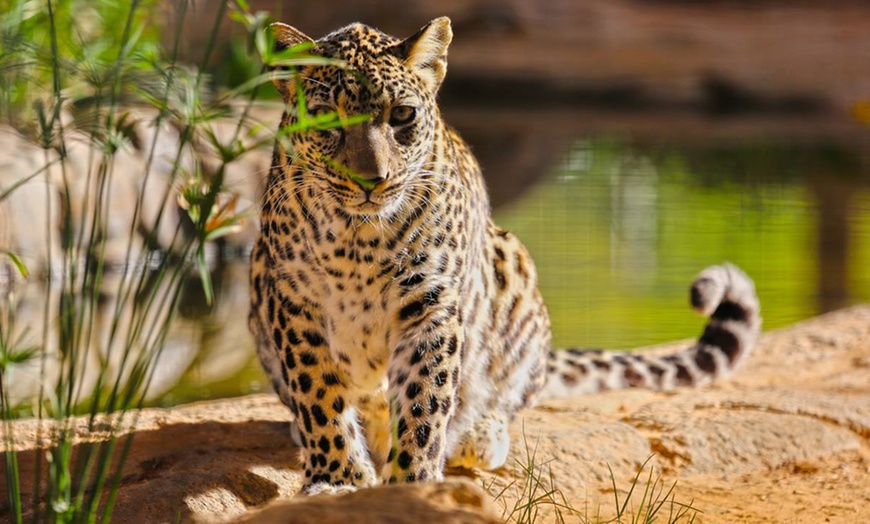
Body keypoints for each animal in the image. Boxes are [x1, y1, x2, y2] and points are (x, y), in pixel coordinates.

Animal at [250, 17, 764, 496]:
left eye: (402, 115)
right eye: (326, 118)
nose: (371, 181)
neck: (359, 240)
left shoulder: (431, 307)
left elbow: (423, 404)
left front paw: (413, 483)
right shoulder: (294, 303)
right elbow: (319, 395)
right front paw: (337, 479)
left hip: (512, 266)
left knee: (505, 394)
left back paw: (480, 434)